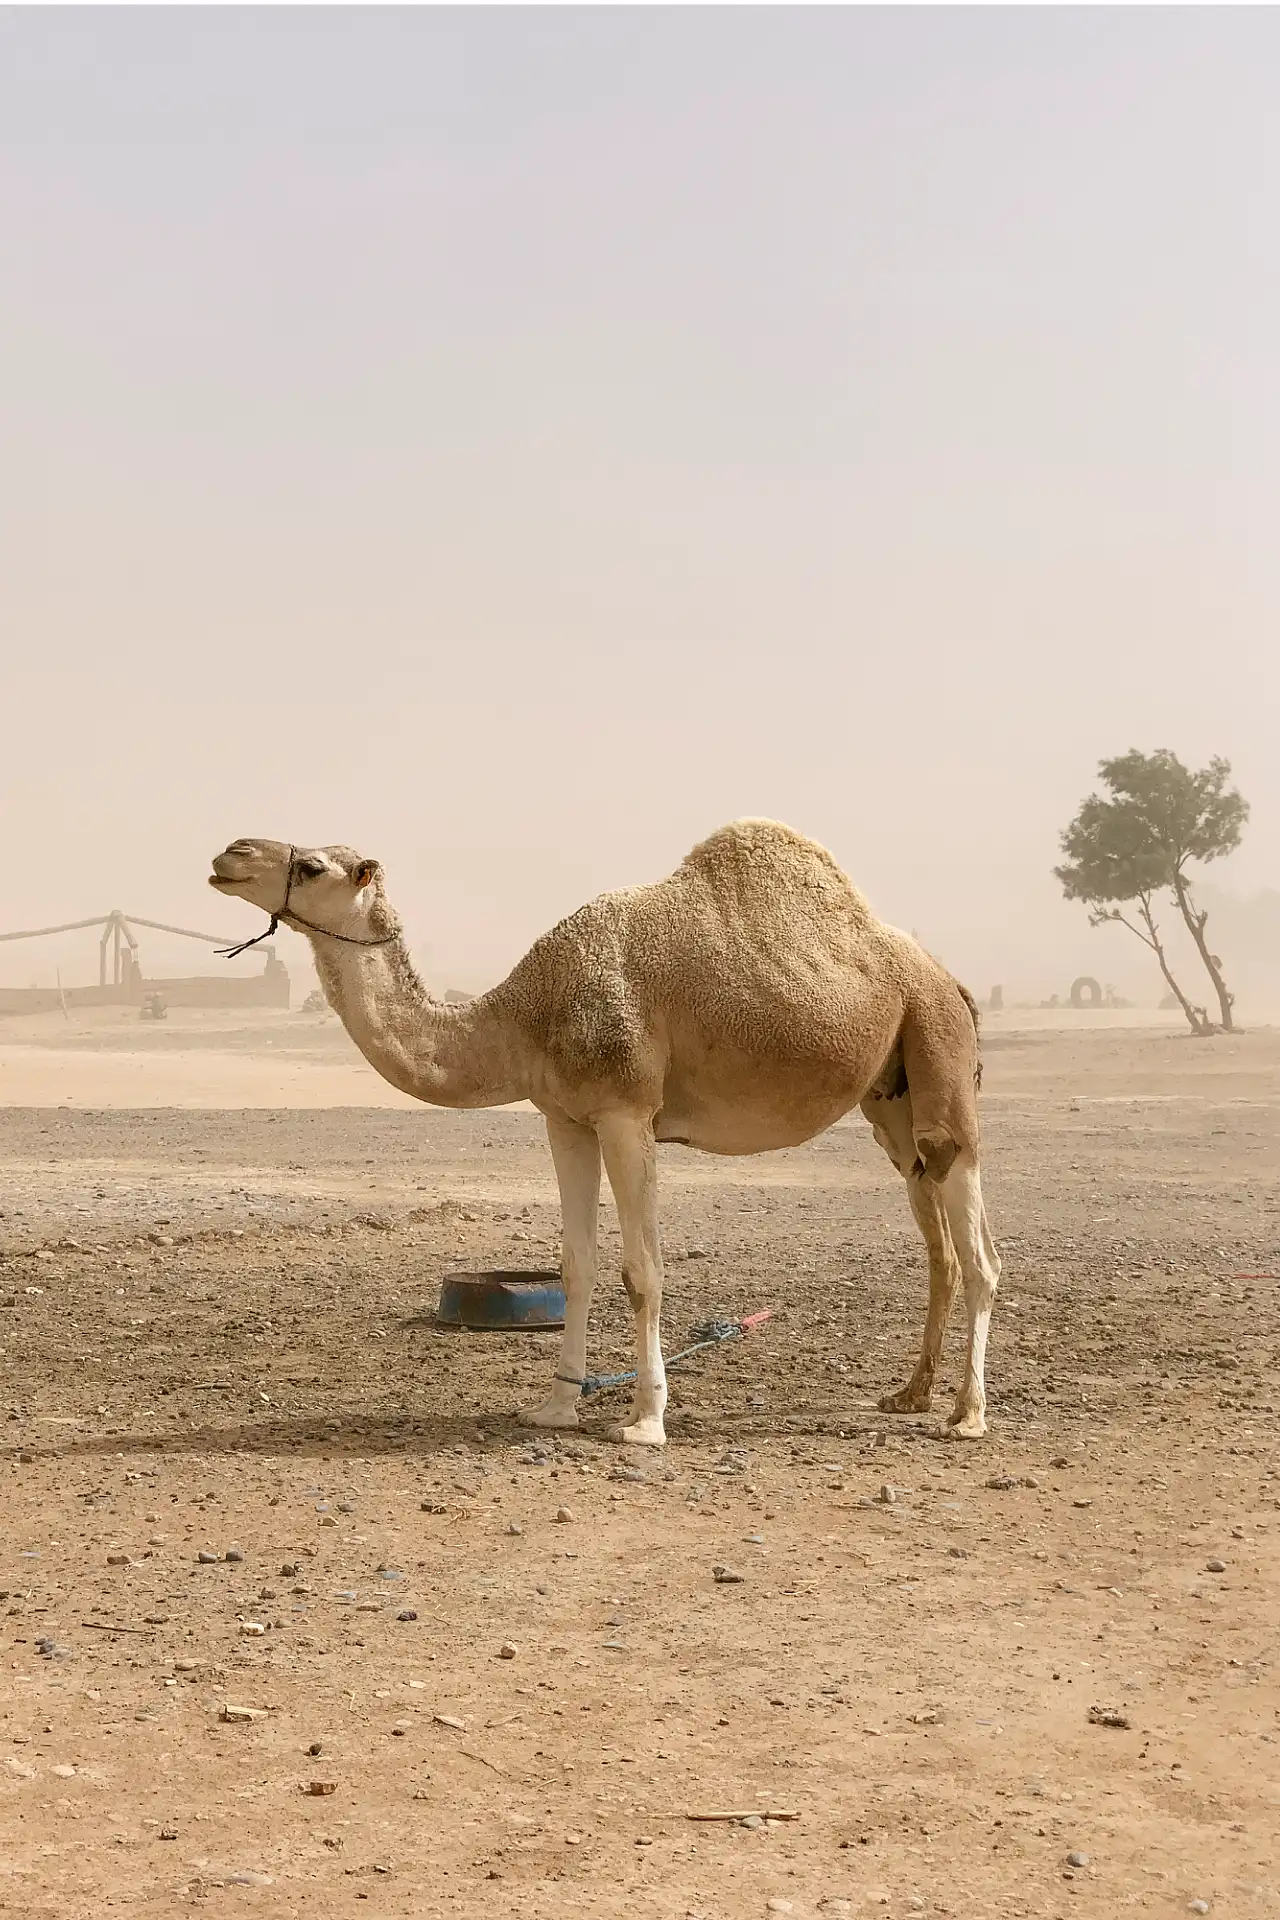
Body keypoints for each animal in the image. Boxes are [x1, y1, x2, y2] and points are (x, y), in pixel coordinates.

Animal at [213, 821, 997, 1443]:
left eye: (315, 866)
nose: (230, 853)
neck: (527, 1013)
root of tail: (950, 979)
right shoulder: (565, 1118)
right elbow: (576, 1265)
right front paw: (556, 1407)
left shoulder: (626, 1112)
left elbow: (641, 1269)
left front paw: (646, 1420)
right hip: (890, 1096)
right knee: (935, 1227)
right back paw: (910, 1394)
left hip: (937, 1043)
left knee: (976, 1241)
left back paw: (966, 1415)